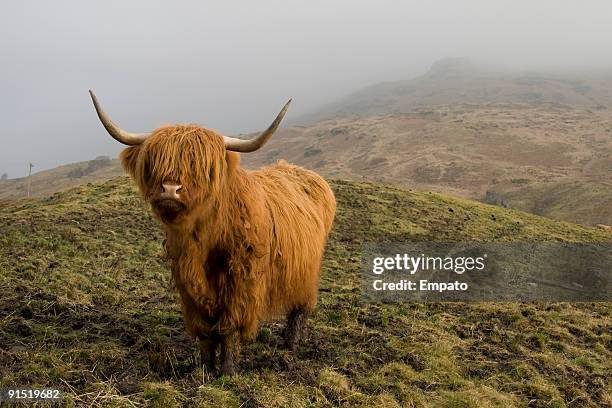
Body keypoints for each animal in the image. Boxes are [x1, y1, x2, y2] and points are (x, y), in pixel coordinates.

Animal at [88, 91, 334, 374]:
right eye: (155, 161)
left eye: (198, 165)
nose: (170, 189)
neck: (203, 240)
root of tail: (301, 172)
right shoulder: (187, 282)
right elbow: (204, 332)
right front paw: (204, 369)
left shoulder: (240, 281)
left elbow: (229, 329)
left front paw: (227, 371)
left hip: (306, 272)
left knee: (299, 309)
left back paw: (290, 346)